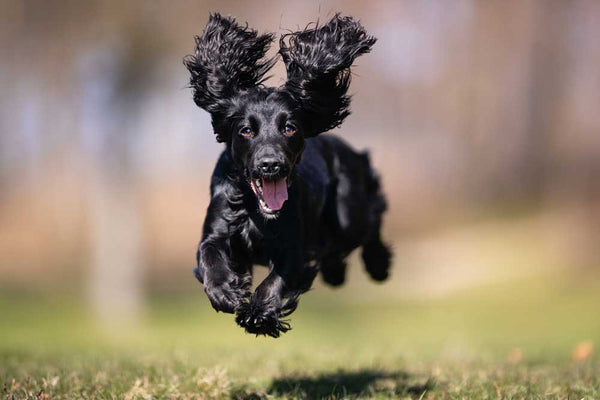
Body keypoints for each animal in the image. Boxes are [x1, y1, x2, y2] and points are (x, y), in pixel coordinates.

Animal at [185, 13, 396, 338]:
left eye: (289, 128)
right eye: (247, 130)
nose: (271, 165)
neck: (254, 211)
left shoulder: (294, 248)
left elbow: (276, 281)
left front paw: (258, 313)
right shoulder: (217, 230)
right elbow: (209, 255)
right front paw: (225, 292)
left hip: (349, 215)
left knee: (371, 219)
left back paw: (378, 264)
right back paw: (336, 271)